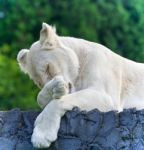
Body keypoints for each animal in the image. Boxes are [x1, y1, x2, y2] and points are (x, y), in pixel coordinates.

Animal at [16, 22, 144, 148]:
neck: (81, 57)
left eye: (48, 68)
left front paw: (41, 137)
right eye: (39, 82)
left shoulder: (107, 93)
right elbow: (41, 98)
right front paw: (54, 89)